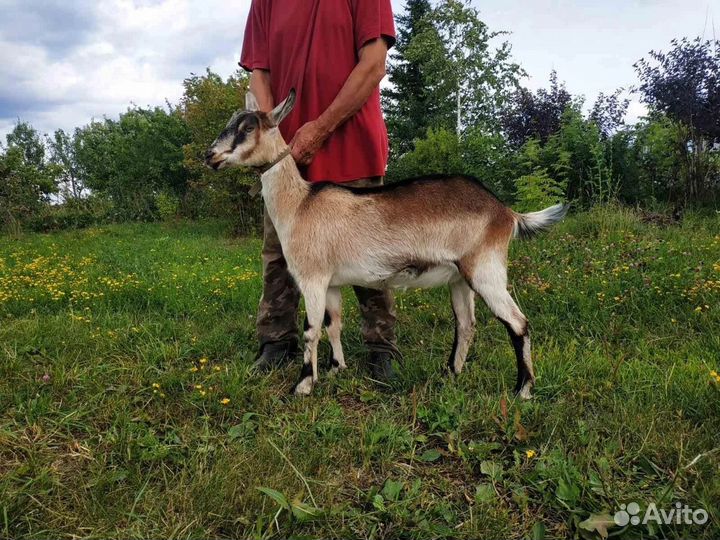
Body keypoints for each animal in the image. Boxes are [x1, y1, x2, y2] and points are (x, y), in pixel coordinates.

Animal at [205, 89, 568, 398]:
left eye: (247, 127)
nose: (210, 156)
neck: (300, 205)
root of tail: (505, 211)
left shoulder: (312, 278)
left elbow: (311, 330)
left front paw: (303, 385)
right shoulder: (331, 282)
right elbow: (333, 325)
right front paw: (337, 369)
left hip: (486, 270)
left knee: (518, 323)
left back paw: (522, 390)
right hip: (460, 278)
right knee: (466, 324)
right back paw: (449, 374)